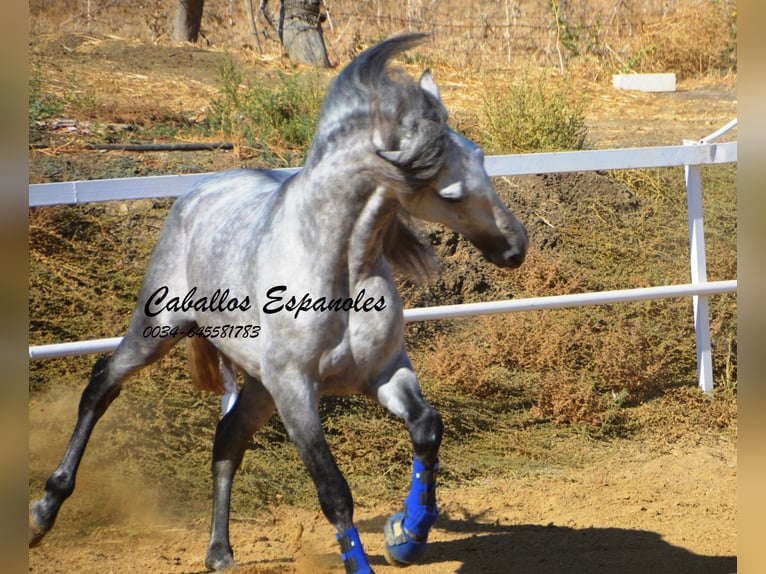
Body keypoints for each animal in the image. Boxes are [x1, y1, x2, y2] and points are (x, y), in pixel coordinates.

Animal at [30, 35, 528, 574]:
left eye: (480, 156)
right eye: (449, 192)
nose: (515, 247)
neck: (339, 271)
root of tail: (197, 192)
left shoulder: (383, 371)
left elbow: (426, 429)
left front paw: (407, 535)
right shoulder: (296, 391)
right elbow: (334, 491)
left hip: (257, 383)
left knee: (227, 437)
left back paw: (219, 552)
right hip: (158, 330)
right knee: (102, 385)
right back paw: (43, 513)